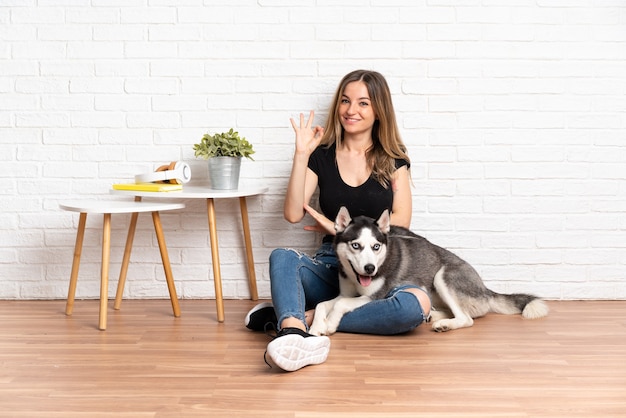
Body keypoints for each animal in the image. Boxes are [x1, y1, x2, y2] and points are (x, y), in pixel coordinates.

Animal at [308, 207, 544, 336]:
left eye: (376, 247)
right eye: (356, 245)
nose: (370, 269)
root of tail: (485, 288)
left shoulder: (374, 297)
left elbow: (341, 305)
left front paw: (330, 324)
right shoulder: (345, 293)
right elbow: (323, 304)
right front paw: (316, 326)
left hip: (443, 276)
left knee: (466, 318)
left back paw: (444, 324)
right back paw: (434, 315)